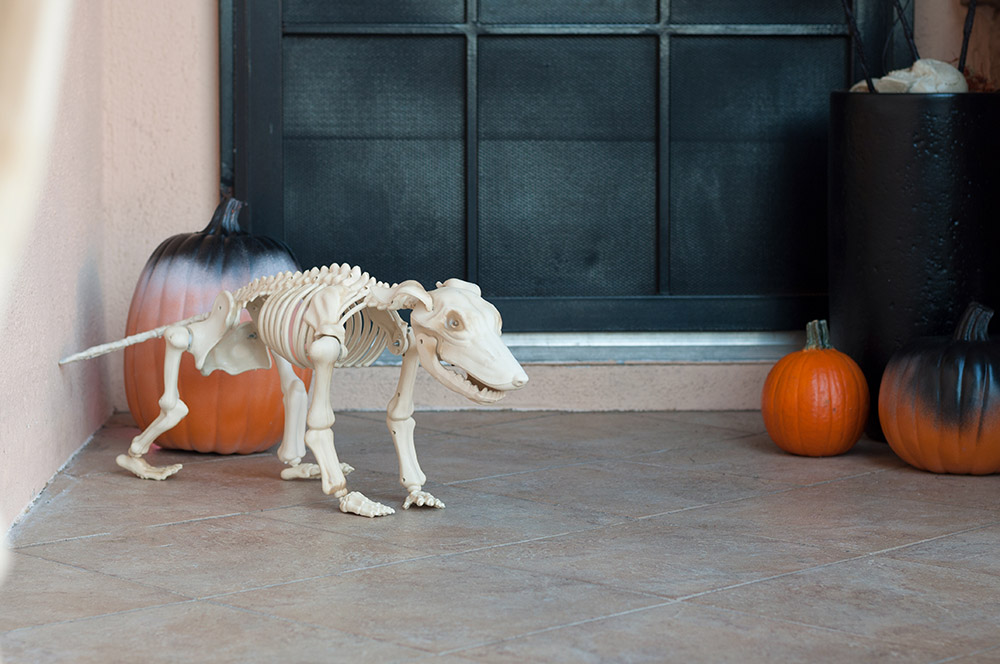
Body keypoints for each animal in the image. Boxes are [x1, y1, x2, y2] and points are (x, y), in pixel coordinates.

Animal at [60, 264, 532, 520]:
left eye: (496, 319)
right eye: (453, 322)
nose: (520, 380)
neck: (379, 304)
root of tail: (254, 286)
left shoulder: (415, 346)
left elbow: (399, 414)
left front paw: (417, 492)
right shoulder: (325, 347)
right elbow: (321, 424)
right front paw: (350, 498)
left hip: (264, 330)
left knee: (290, 387)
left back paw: (296, 468)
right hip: (225, 315)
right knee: (179, 336)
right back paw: (138, 462)